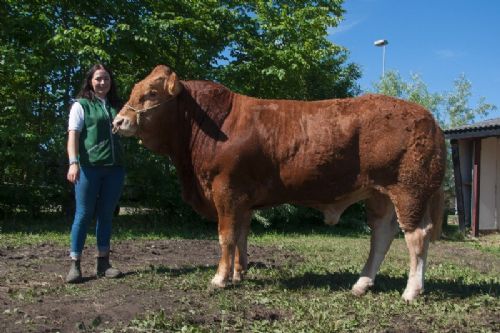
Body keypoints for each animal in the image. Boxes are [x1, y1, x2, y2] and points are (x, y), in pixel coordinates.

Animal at [113, 65, 446, 300]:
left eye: (151, 93)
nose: (118, 122)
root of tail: (428, 117)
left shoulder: (226, 190)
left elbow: (226, 236)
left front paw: (220, 279)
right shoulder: (243, 199)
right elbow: (242, 235)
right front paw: (239, 273)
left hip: (409, 190)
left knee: (417, 236)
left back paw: (411, 291)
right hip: (380, 194)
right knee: (382, 235)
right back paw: (362, 284)